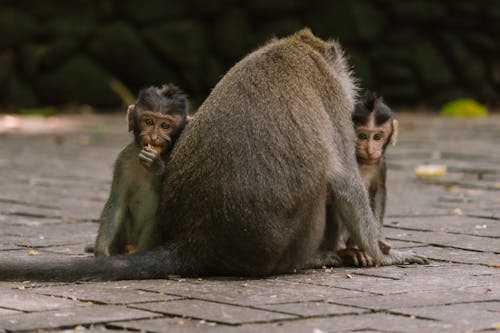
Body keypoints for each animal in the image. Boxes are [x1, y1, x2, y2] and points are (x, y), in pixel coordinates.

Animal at [93, 84, 188, 255]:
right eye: (148, 121)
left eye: (165, 125)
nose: (154, 138)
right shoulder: (124, 160)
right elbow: (117, 203)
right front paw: (102, 252)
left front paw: (156, 165)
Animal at [336, 92, 398, 266]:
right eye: (362, 136)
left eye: (377, 137)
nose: (370, 149)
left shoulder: (380, 164)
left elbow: (378, 193)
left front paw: (378, 240)